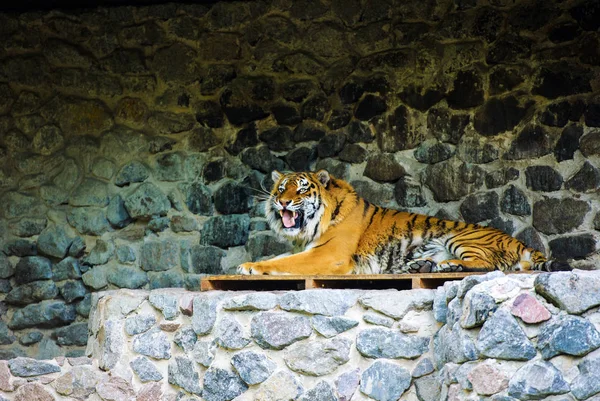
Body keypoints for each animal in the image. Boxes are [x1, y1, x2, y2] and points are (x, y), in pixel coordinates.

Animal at [237, 169, 568, 276]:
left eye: (302, 190)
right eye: (282, 188)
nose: (282, 202)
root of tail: (520, 242)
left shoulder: (328, 255)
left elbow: (286, 262)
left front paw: (249, 266)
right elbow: (280, 257)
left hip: (460, 238)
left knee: (489, 265)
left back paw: (446, 266)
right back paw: (425, 266)